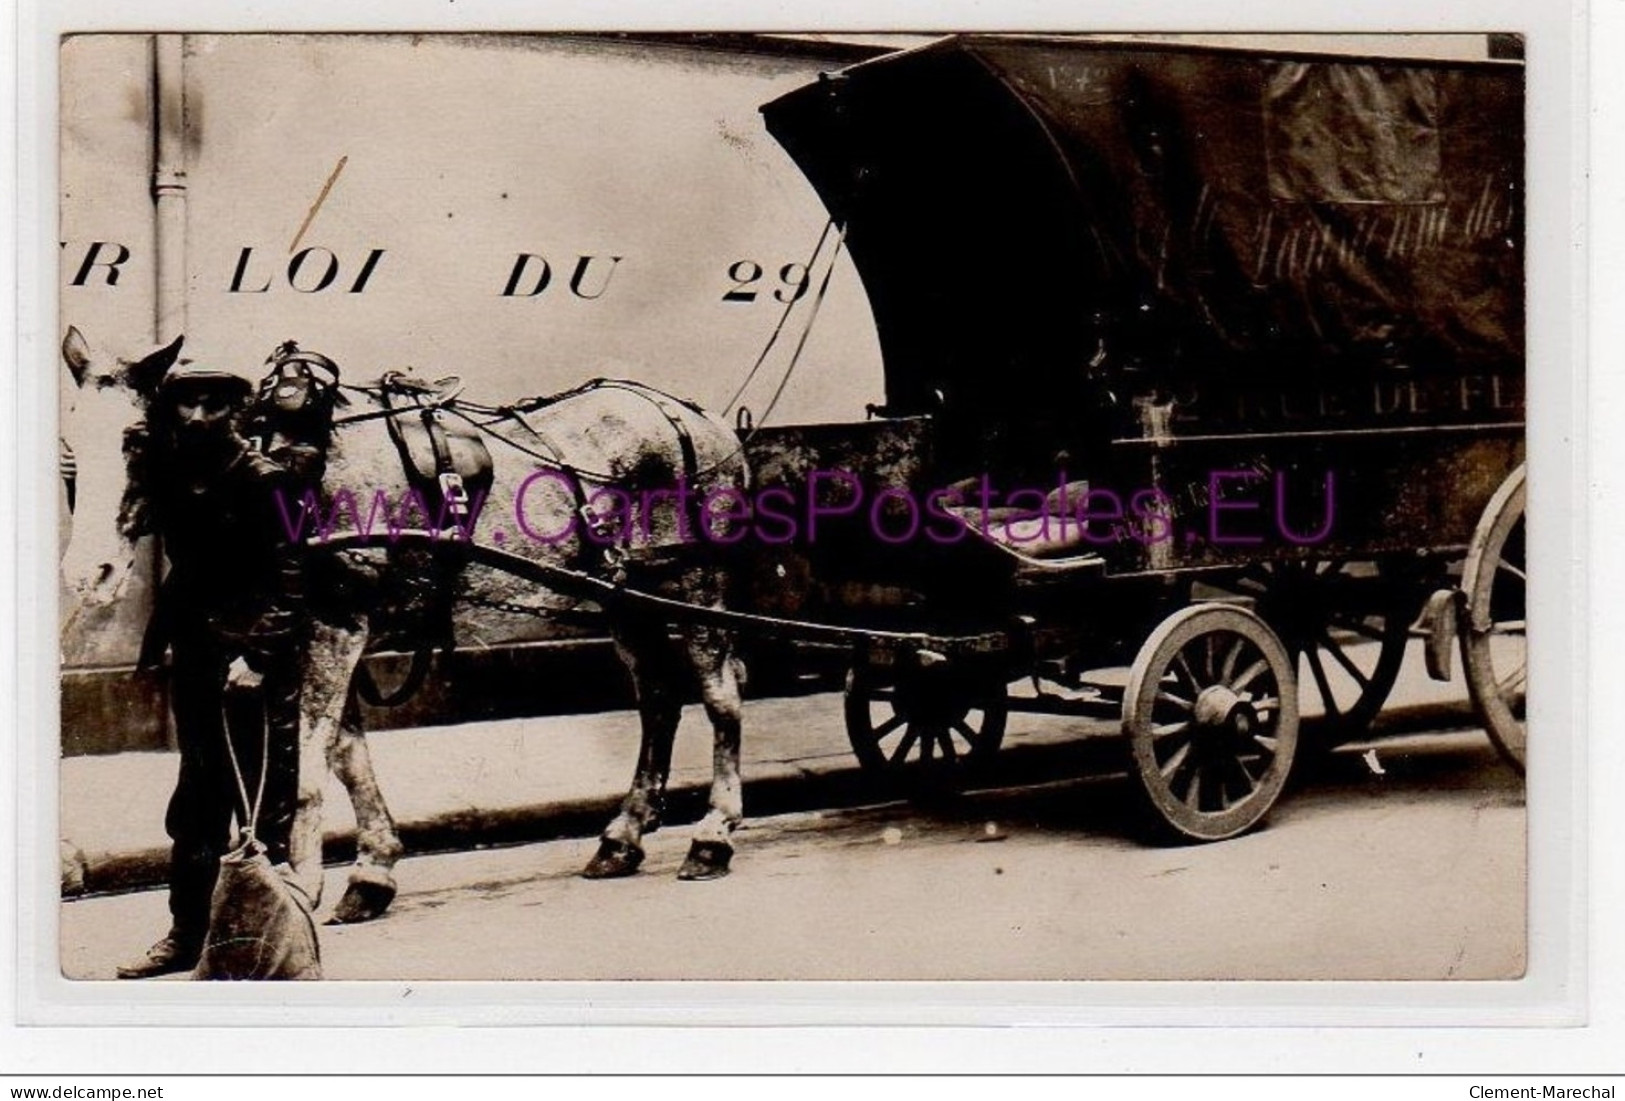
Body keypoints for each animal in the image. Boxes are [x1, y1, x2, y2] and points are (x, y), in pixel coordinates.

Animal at [55, 329, 754, 922]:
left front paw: (301, 885)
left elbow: (311, 765)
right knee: (658, 700)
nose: (88, 572)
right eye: (68, 444)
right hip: (626, 599)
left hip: (697, 584)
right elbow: (347, 756)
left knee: (720, 698)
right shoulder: (312, 635)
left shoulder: (335, 628)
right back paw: (622, 838)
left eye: (137, 438)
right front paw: (371, 873)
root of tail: (703, 420)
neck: (277, 463)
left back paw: (712, 836)